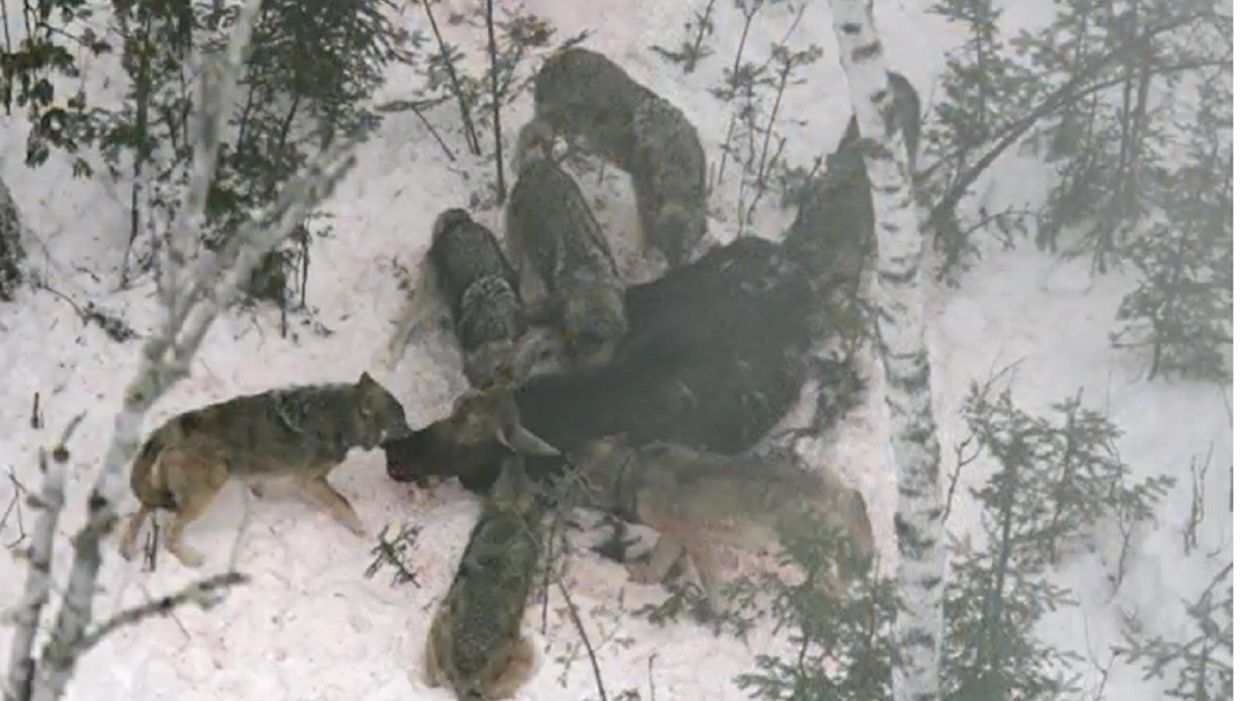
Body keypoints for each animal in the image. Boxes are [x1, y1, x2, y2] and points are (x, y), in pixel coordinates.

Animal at [119, 372, 411, 567]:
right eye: (401, 420)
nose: (415, 433)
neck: (340, 419)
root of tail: (172, 426)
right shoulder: (310, 480)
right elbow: (344, 503)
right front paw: (361, 531)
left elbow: (259, 482)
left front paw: (260, 493)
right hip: (205, 493)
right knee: (170, 533)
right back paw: (191, 560)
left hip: (165, 492)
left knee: (140, 512)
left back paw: (127, 550)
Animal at [527, 47, 708, 267]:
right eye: (668, 243)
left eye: (686, 247)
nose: (677, 266)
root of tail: (560, 56)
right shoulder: (644, 197)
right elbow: (646, 230)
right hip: (562, 121)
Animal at [569, 436, 875, 613]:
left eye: (574, 479)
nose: (560, 501)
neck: (630, 473)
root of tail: (829, 490)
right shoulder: (675, 536)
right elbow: (658, 565)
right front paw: (644, 578)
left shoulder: (694, 537)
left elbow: (710, 582)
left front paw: (717, 613)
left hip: (804, 549)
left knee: (836, 584)